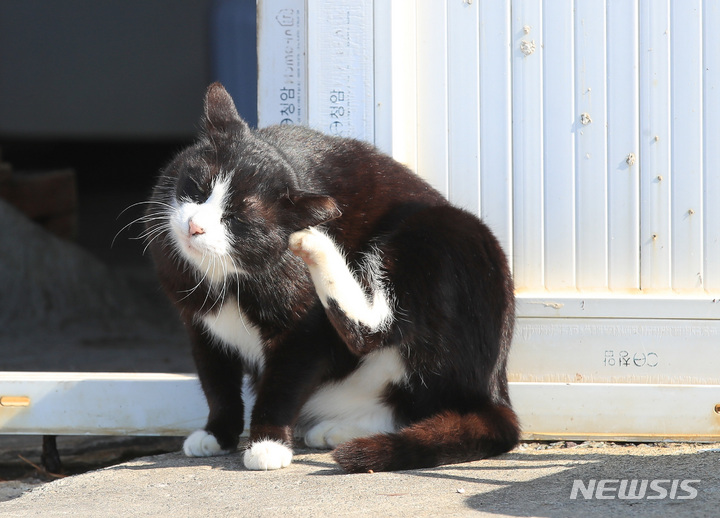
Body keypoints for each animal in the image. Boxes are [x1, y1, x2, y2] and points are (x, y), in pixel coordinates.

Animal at [143, 82, 520, 476]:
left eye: (237, 217)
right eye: (199, 186)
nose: (195, 226)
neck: (227, 278)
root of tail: (494, 387)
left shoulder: (304, 332)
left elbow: (283, 384)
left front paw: (267, 444)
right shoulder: (201, 328)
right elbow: (217, 384)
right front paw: (217, 434)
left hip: (439, 230)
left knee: (373, 334)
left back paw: (316, 244)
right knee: (409, 407)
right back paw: (335, 430)